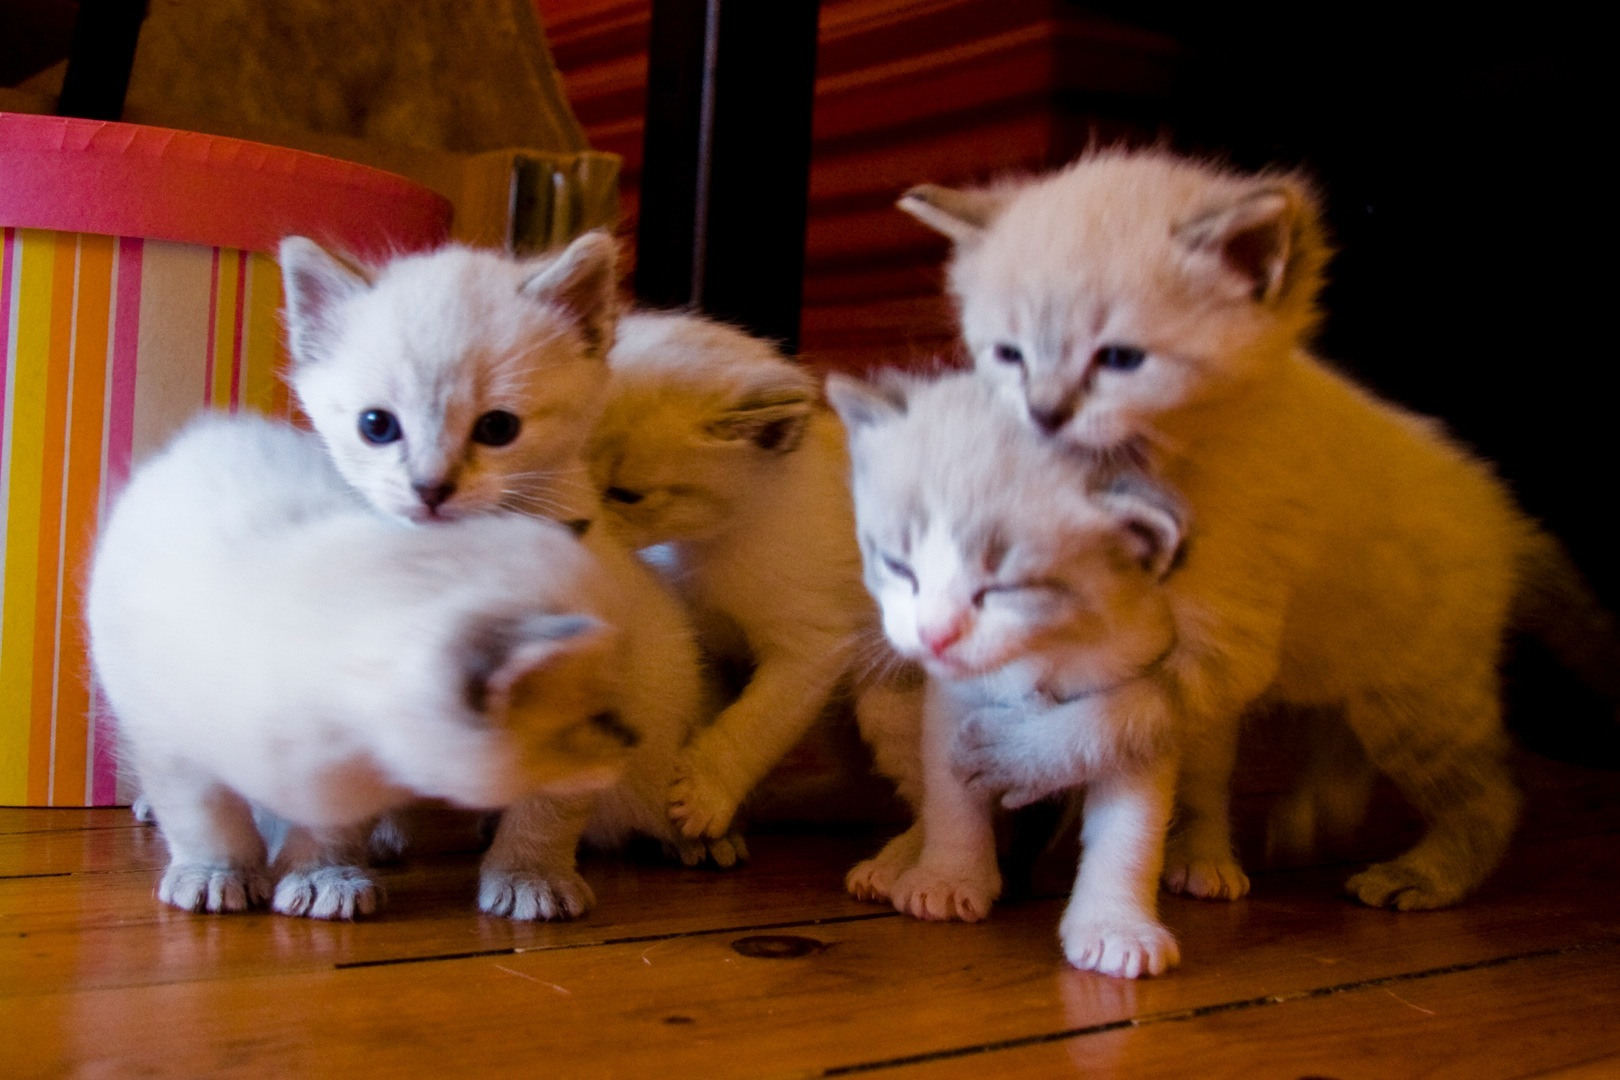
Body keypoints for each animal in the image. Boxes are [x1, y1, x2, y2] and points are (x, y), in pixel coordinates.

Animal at [90, 414, 644, 919]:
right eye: (599, 721)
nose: (633, 742)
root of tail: (213, 429)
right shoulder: (174, 750)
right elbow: (209, 824)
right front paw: (218, 876)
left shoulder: (334, 780)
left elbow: (323, 835)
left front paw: (322, 879)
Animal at [829, 372, 1185, 977]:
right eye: (898, 566)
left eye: (1004, 587)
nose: (934, 634)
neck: (1045, 651)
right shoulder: (952, 699)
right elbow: (949, 791)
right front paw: (948, 877)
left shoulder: (1141, 691)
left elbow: (1129, 828)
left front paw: (1116, 924)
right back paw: (900, 858)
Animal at [900, 148, 1620, 913]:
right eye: (1009, 354)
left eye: (1119, 360)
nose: (1043, 413)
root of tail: (1504, 513)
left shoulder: (1220, 648)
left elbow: (1113, 717)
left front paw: (1010, 755)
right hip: (1353, 660)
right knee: (1336, 735)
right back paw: (1306, 816)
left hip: (1420, 698)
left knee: (1491, 795)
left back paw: (1422, 874)